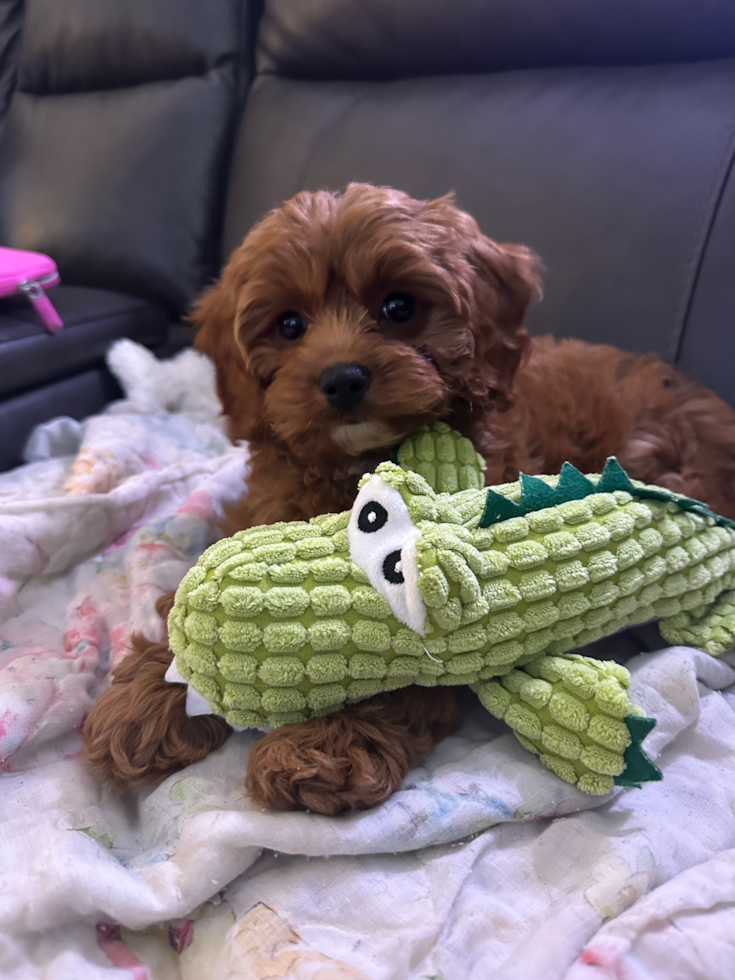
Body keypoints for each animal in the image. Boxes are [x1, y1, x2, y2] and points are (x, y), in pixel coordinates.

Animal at [82, 182, 735, 812]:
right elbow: (191, 597)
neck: (358, 464)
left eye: (400, 307)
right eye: (289, 325)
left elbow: (410, 666)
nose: (343, 378)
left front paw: (325, 744)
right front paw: (146, 696)